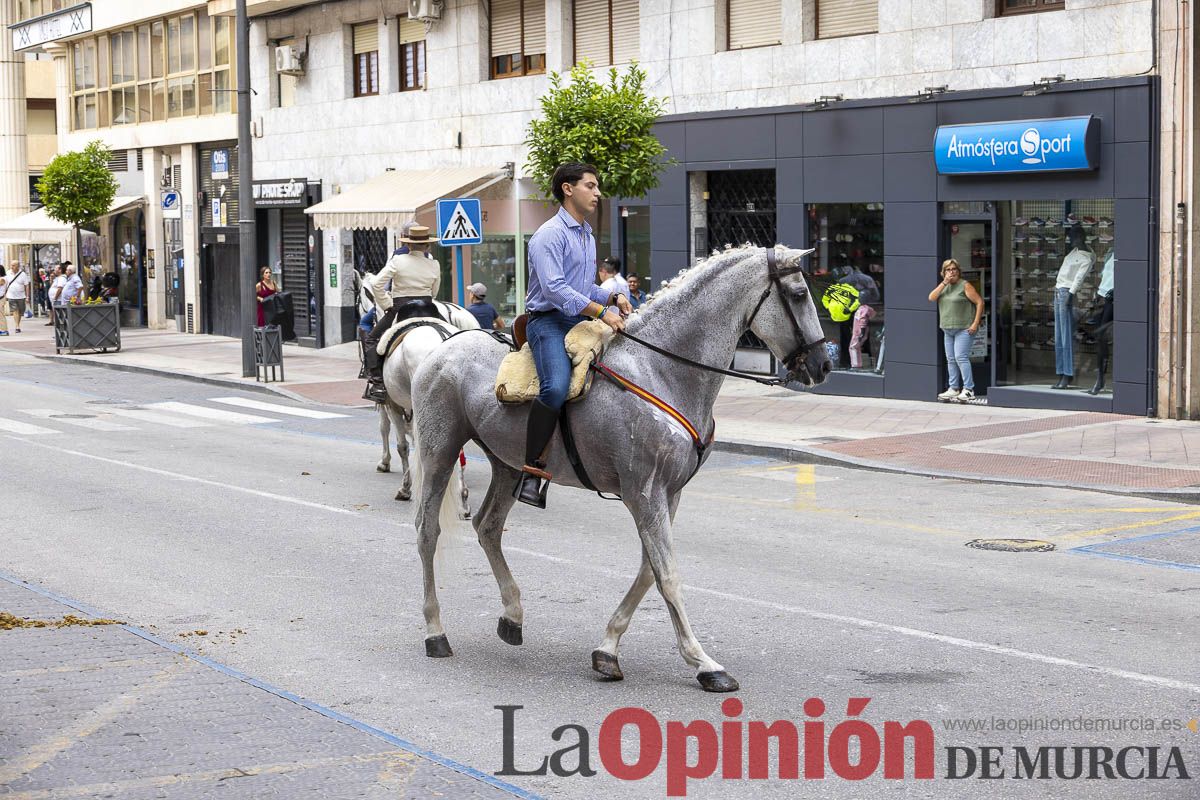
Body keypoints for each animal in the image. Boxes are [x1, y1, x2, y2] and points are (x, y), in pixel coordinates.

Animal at [408, 245, 831, 692]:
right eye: (799, 294)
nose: (823, 364)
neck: (661, 370)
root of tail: (443, 346)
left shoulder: (668, 494)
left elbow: (648, 571)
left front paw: (607, 650)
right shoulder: (644, 492)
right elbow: (667, 575)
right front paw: (703, 663)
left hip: (506, 463)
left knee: (488, 527)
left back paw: (512, 616)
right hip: (439, 453)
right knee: (427, 532)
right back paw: (435, 632)